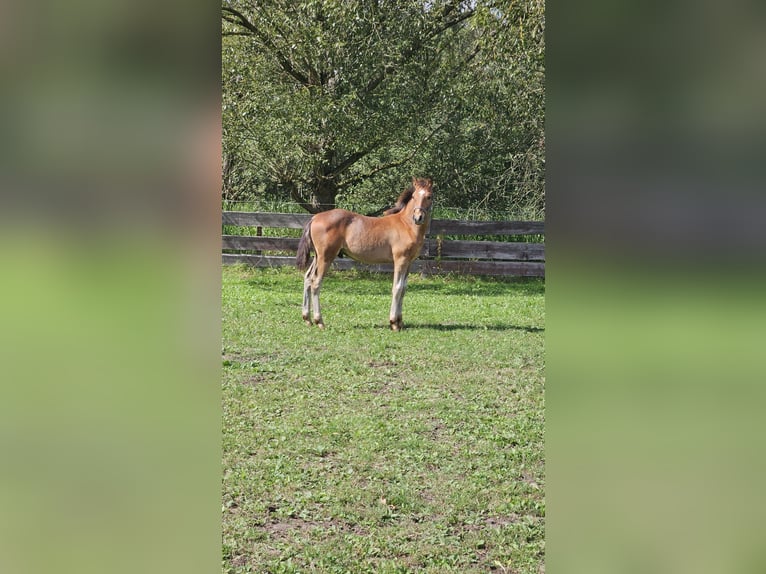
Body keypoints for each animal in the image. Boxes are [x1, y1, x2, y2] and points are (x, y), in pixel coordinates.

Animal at [296, 177, 434, 331]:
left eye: (429, 196)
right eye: (414, 197)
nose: (418, 217)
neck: (406, 225)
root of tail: (315, 218)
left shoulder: (409, 262)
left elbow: (403, 289)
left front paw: (400, 322)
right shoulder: (400, 260)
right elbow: (397, 288)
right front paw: (394, 323)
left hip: (318, 256)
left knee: (308, 278)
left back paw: (307, 318)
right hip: (326, 257)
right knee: (316, 282)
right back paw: (319, 321)